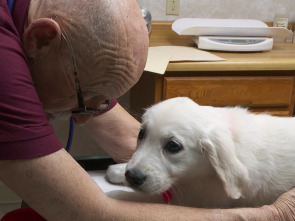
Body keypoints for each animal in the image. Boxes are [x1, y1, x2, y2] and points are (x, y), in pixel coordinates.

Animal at [107, 97, 295, 208]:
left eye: (173, 146)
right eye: (141, 134)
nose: (132, 176)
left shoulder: (195, 197)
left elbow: (145, 198)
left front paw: (114, 195)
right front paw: (118, 170)